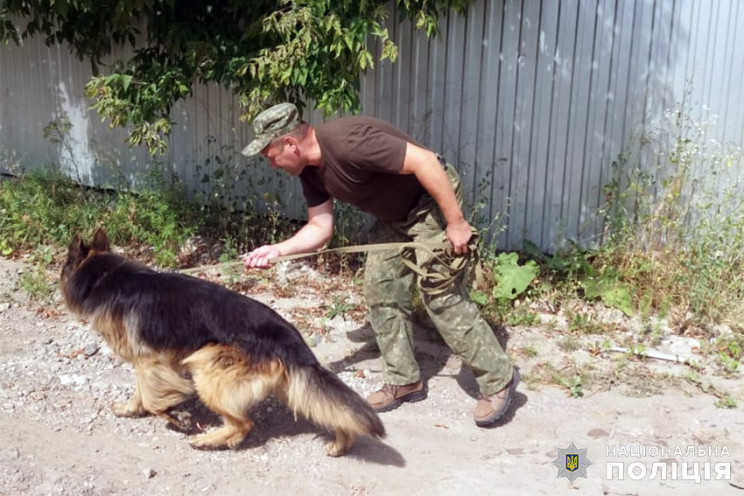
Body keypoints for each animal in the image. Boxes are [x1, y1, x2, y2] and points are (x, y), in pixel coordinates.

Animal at [59, 231, 384, 456]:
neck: (105, 278)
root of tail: (290, 337)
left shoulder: (150, 362)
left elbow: (153, 399)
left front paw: (175, 416)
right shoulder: (147, 362)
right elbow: (142, 394)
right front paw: (131, 408)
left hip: (206, 367)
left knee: (243, 425)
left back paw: (207, 439)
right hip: (281, 382)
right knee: (320, 406)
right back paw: (342, 442)